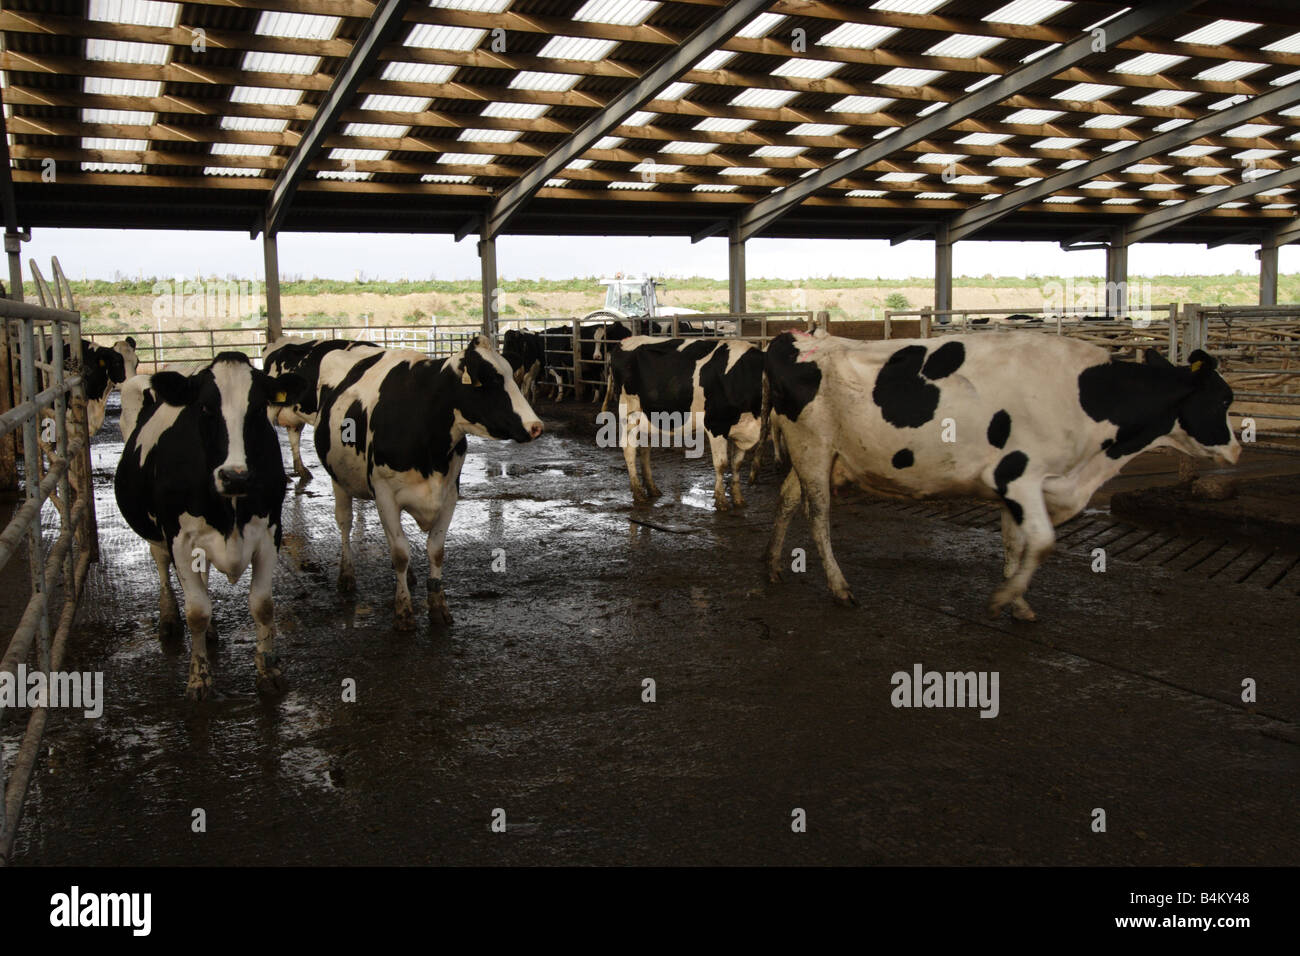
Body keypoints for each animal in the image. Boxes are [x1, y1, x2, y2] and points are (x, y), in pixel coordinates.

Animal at [113, 353, 306, 702]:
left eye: (258, 407)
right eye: (204, 407)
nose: (236, 476)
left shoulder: (270, 533)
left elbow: (263, 606)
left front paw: (268, 672)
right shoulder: (179, 540)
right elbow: (197, 612)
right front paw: (199, 678)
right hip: (157, 534)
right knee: (162, 565)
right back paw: (168, 618)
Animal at [312, 332, 540, 632]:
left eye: (511, 374)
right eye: (489, 380)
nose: (536, 426)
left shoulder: (449, 493)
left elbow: (435, 550)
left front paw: (439, 607)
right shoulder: (384, 493)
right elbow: (400, 552)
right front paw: (403, 612)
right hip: (338, 479)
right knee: (345, 523)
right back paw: (346, 575)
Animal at [605, 338, 759, 512]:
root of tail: (622, 343)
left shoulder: (743, 430)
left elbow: (737, 464)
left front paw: (739, 499)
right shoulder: (715, 425)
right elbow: (721, 464)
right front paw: (722, 502)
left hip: (647, 417)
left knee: (645, 450)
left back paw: (652, 489)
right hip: (629, 412)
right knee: (629, 448)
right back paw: (638, 493)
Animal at [764, 332, 1242, 621]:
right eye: (1223, 399)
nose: (1238, 449)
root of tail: (804, 338)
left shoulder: (1020, 487)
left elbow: (1016, 541)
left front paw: (1018, 600)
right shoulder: (1018, 476)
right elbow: (1043, 542)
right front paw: (1004, 598)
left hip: (815, 455)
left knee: (788, 498)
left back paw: (773, 564)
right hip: (814, 447)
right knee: (818, 515)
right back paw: (839, 586)